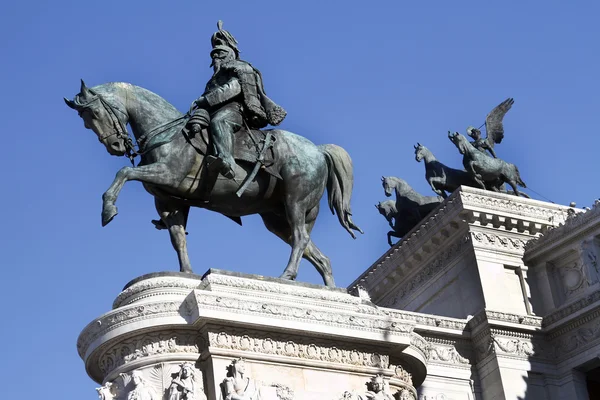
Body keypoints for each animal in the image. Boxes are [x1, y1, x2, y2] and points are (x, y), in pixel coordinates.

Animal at [63, 81, 360, 286]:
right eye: (86, 122)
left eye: (95, 114)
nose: (115, 146)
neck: (168, 133)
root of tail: (318, 150)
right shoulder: (169, 202)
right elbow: (178, 239)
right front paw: (186, 274)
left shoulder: (167, 174)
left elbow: (124, 172)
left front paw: (108, 209)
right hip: (277, 218)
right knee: (319, 256)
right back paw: (330, 291)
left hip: (295, 202)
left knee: (300, 239)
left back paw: (287, 275)